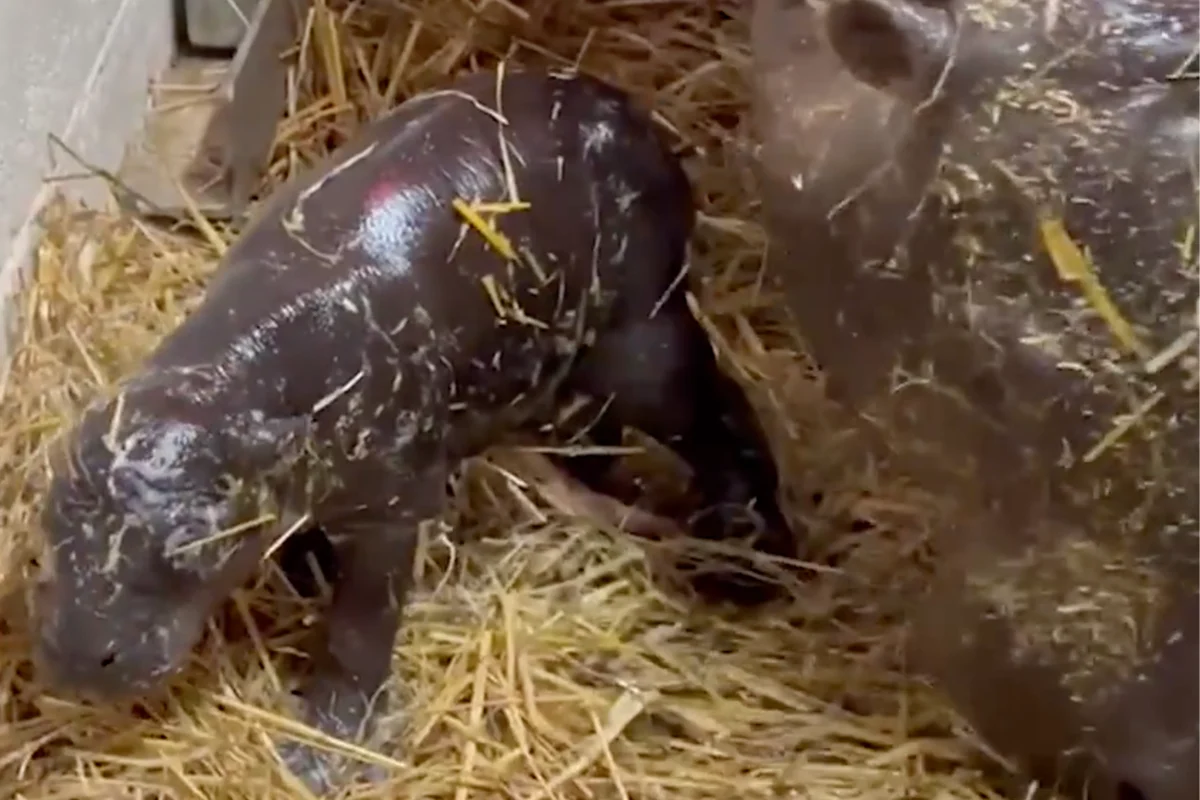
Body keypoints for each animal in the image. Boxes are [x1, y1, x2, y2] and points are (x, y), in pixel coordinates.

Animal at [33, 67, 794, 795]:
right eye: (50, 517)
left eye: (195, 539)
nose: (76, 658)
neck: (233, 374)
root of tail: (636, 118)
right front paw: (305, 576)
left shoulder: (388, 509)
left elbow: (361, 629)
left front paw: (322, 753)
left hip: (641, 339)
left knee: (718, 409)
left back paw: (745, 559)